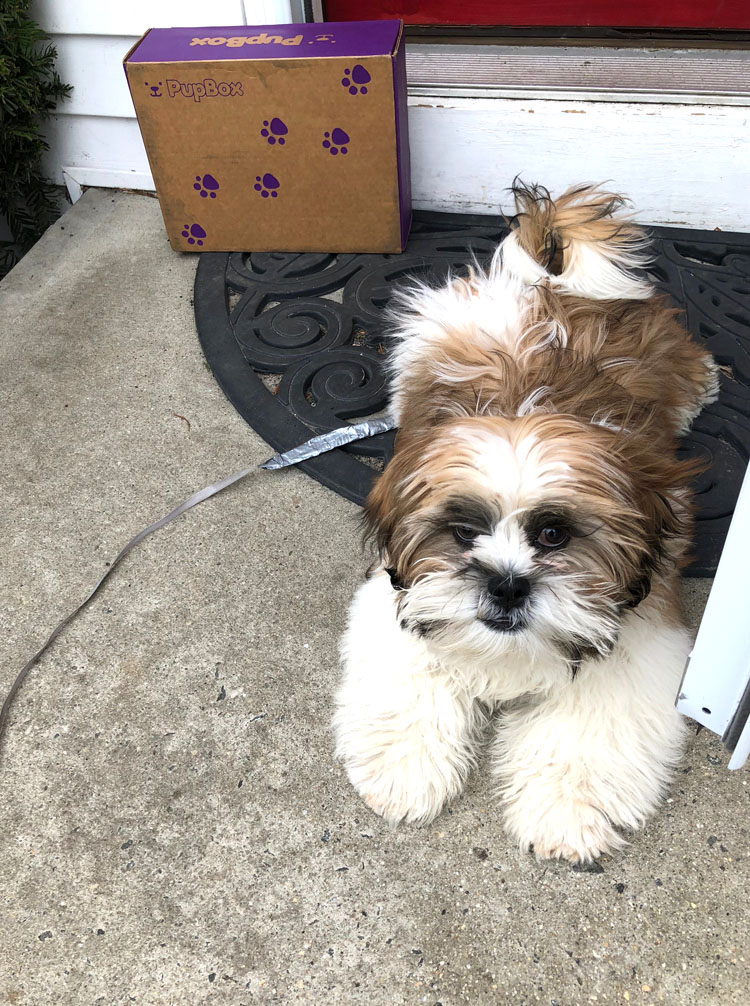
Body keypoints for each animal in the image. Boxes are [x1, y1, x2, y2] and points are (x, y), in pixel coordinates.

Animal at [331, 185, 711, 861]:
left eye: (554, 535)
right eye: (464, 532)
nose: (506, 584)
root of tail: (552, 291)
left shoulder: (641, 629)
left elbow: (590, 720)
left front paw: (565, 807)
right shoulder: (398, 597)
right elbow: (415, 670)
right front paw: (403, 770)